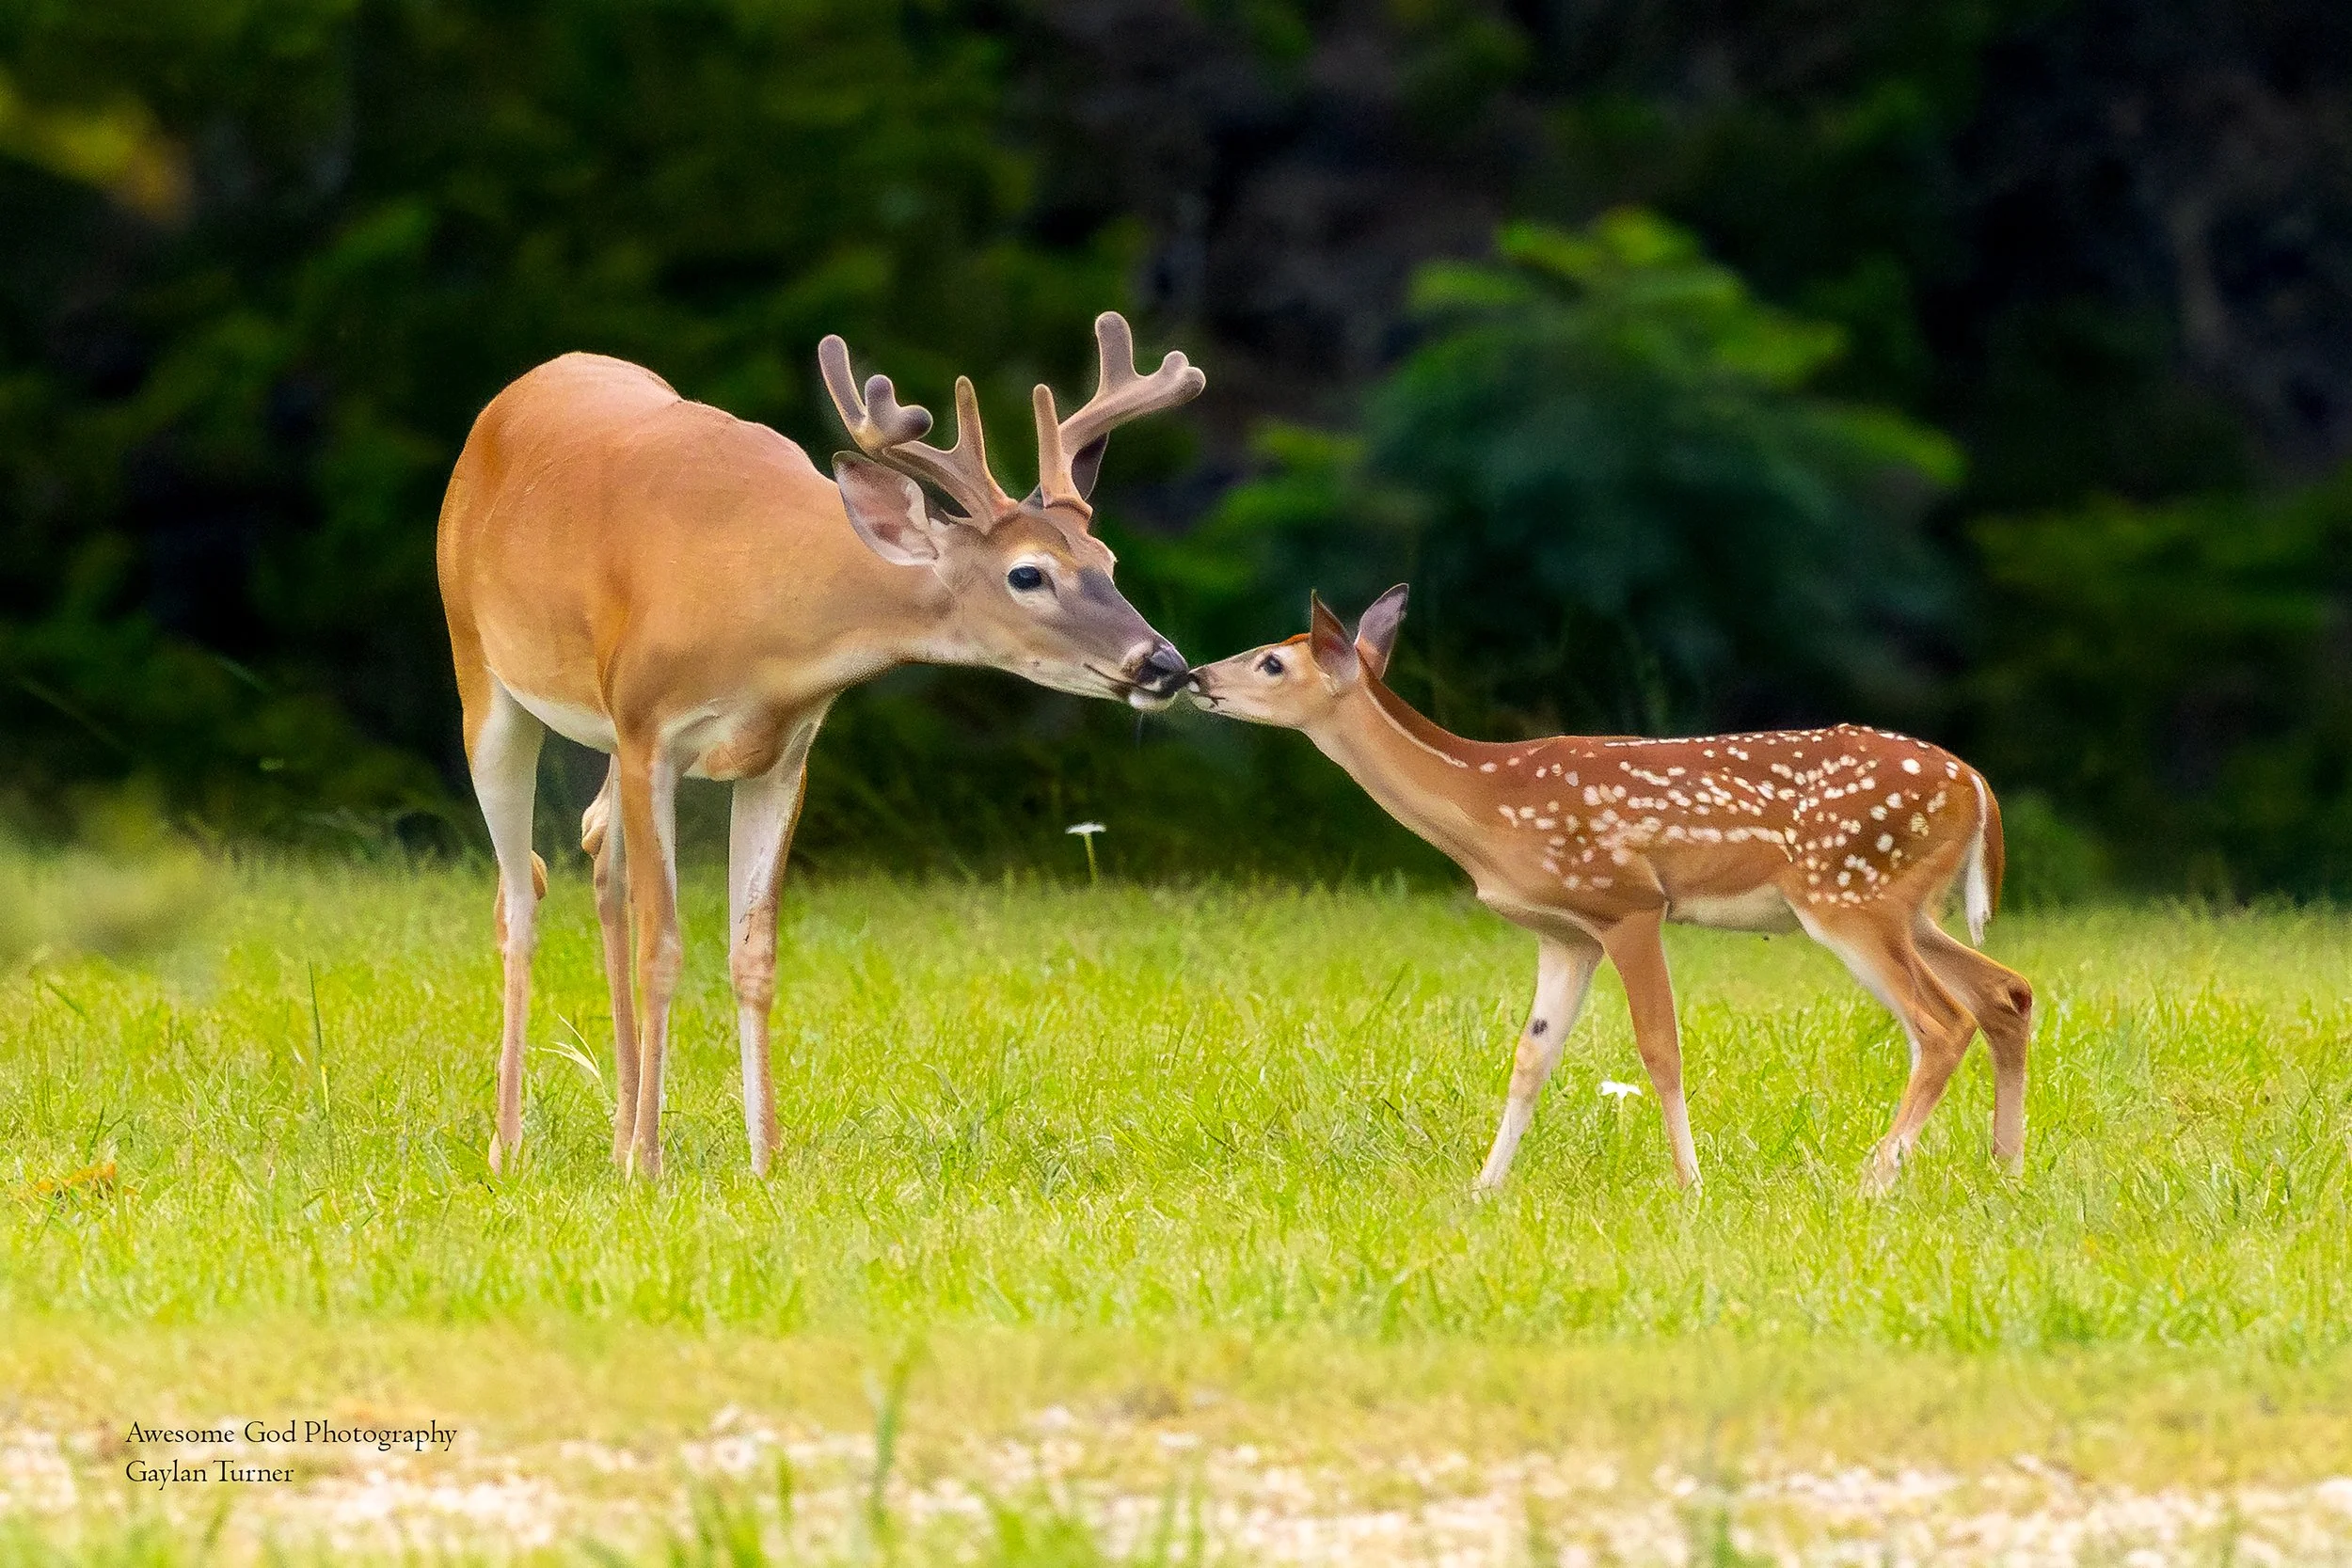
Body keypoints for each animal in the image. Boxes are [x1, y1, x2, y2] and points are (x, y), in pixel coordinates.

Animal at [437, 313, 1203, 1179]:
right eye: (1027, 574)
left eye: (1107, 560)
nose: (1165, 663)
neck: (758, 610)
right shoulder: (648, 731)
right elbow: (663, 947)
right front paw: (654, 1167)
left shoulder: (784, 756)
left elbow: (754, 955)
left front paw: (763, 1159)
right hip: (482, 671)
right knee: (519, 895)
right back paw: (509, 1144)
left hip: (599, 731)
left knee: (599, 850)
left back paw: (618, 1130)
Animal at [1186, 588, 2034, 1194]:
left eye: (1270, 662)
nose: (1192, 676)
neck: (1488, 801)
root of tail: (1978, 785)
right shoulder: (1564, 931)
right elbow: (1532, 1057)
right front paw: (1483, 1187)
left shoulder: (1628, 902)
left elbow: (1660, 1047)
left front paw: (1691, 1184)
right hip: (1908, 907)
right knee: (2006, 992)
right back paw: (2005, 1169)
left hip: (1852, 895)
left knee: (1942, 1020)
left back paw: (1878, 1176)